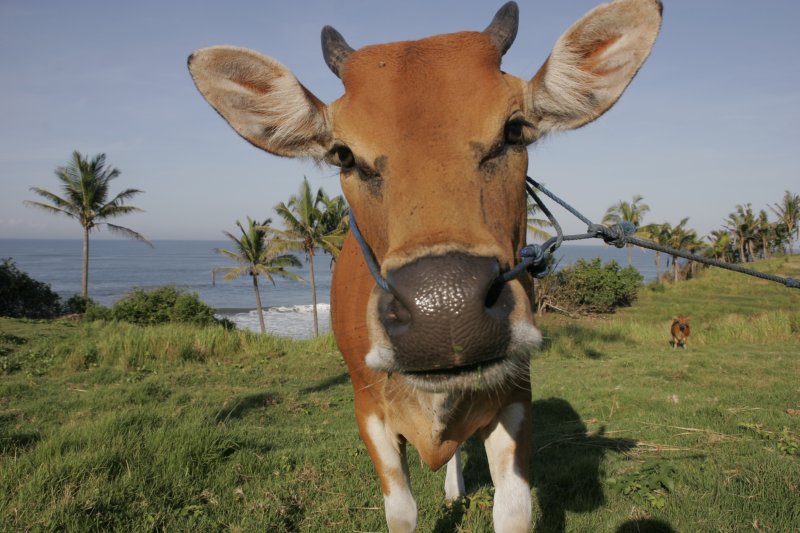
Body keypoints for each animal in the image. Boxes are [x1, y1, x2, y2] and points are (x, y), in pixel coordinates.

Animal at [189, 2, 664, 528]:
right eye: (343, 154)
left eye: (514, 130)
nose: (447, 308)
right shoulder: (367, 409)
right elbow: (401, 509)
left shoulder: (517, 396)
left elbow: (514, 508)